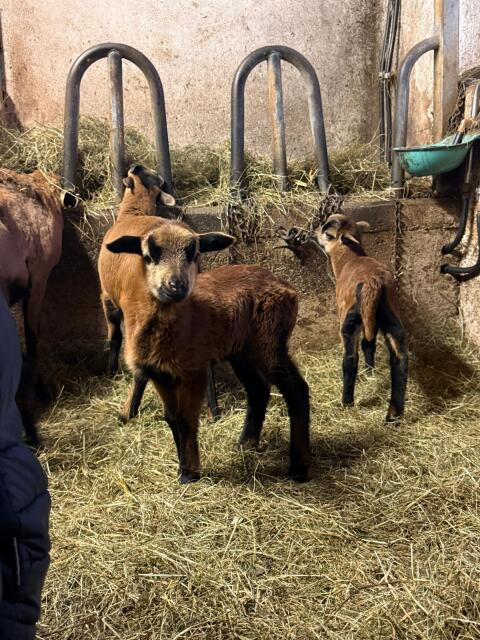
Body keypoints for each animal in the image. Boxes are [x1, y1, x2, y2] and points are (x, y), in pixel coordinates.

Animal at [98, 166, 310, 483]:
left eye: (194, 252)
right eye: (148, 255)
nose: (175, 286)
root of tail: (283, 284)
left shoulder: (193, 370)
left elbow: (187, 419)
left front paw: (191, 473)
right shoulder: (161, 375)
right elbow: (172, 419)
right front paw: (182, 471)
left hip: (270, 342)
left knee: (296, 390)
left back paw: (298, 468)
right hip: (241, 350)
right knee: (258, 390)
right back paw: (245, 443)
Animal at [315, 213, 408, 422]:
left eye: (327, 232)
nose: (314, 233)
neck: (349, 258)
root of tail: (373, 283)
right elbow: (369, 345)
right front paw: (370, 371)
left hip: (350, 320)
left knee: (350, 359)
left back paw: (346, 402)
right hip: (390, 317)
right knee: (399, 359)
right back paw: (393, 416)